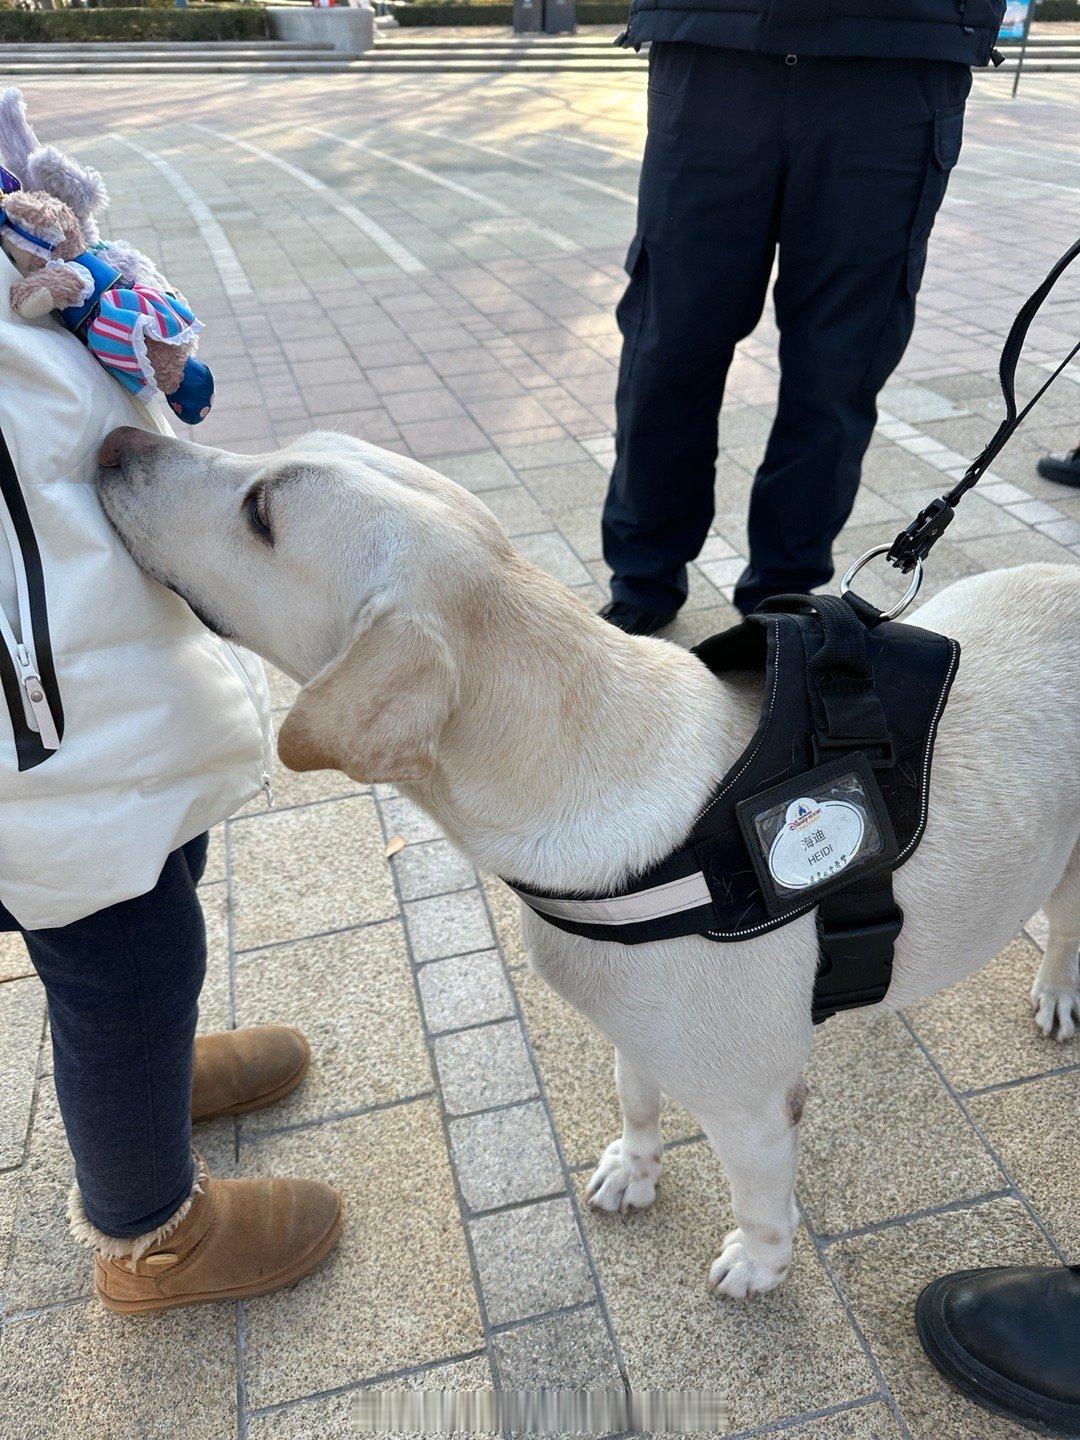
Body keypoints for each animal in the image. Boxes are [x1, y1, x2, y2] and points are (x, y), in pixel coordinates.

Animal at [97, 420, 1080, 1301]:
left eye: (261, 512)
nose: (111, 442)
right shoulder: (631, 1026)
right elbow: (636, 1099)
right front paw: (634, 1171)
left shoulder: (751, 1107)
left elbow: (761, 1201)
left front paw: (759, 1265)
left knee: (1064, 929)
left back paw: (1059, 994)